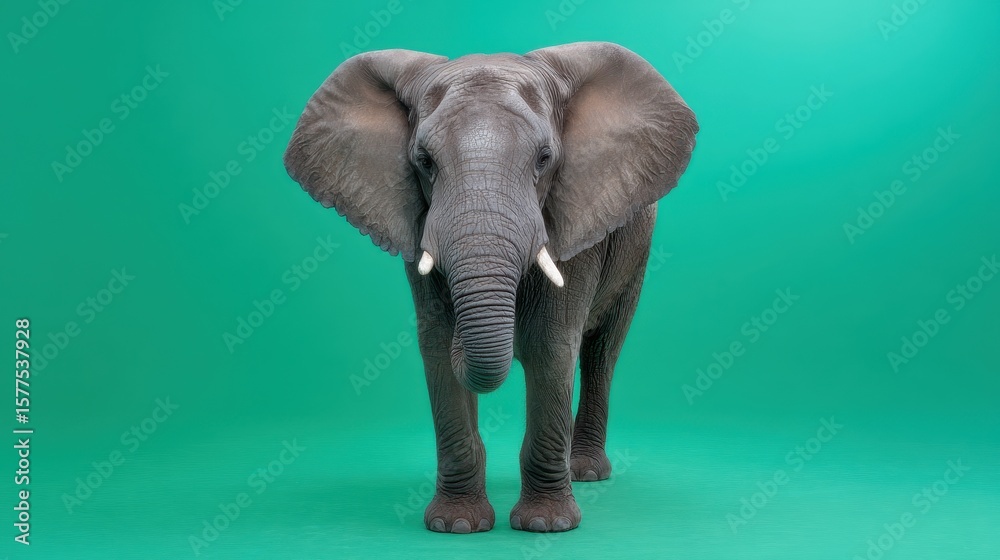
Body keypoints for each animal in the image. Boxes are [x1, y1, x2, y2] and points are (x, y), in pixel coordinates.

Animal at [284, 41, 698, 534]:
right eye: (424, 162)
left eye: (544, 159)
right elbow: (437, 347)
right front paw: (456, 526)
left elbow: (551, 347)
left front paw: (546, 526)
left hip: (636, 253)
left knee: (601, 352)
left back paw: (586, 473)